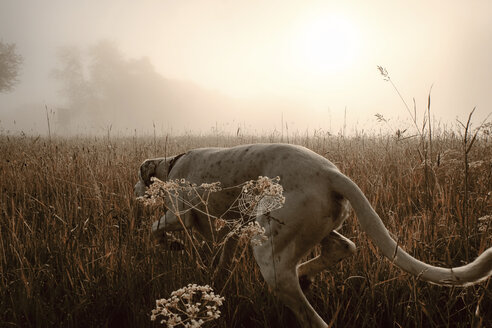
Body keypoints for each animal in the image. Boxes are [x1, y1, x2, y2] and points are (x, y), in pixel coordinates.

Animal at [135, 144, 492, 328]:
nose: (136, 190)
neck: (173, 163)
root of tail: (332, 174)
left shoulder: (179, 214)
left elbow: (157, 229)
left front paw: (171, 243)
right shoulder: (233, 230)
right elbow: (221, 262)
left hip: (271, 250)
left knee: (312, 315)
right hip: (312, 227)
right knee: (343, 247)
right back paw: (306, 274)